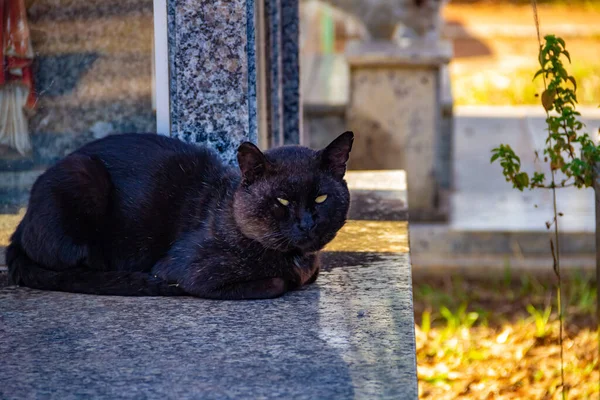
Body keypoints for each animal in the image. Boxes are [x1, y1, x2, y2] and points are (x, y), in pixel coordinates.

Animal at [5, 133, 352, 298]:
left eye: (321, 198)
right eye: (281, 200)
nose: (307, 223)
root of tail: (19, 226)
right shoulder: (190, 269)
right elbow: (277, 283)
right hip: (83, 177)